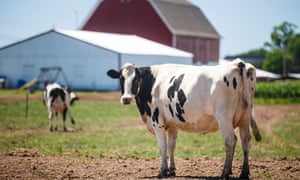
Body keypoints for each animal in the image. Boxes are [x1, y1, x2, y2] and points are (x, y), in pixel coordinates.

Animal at [107, 59, 260, 179]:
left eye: (136, 79)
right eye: (121, 78)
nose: (126, 98)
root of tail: (238, 63)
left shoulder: (157, 121)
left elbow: (162, 146)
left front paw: (162, 171)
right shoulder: (173, 124)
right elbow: (171, 145)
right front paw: (172, 170)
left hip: (224, 118)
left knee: (230, 141)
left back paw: (224, 173)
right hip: (245, 117)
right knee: (246, 140)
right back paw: (244, 173)